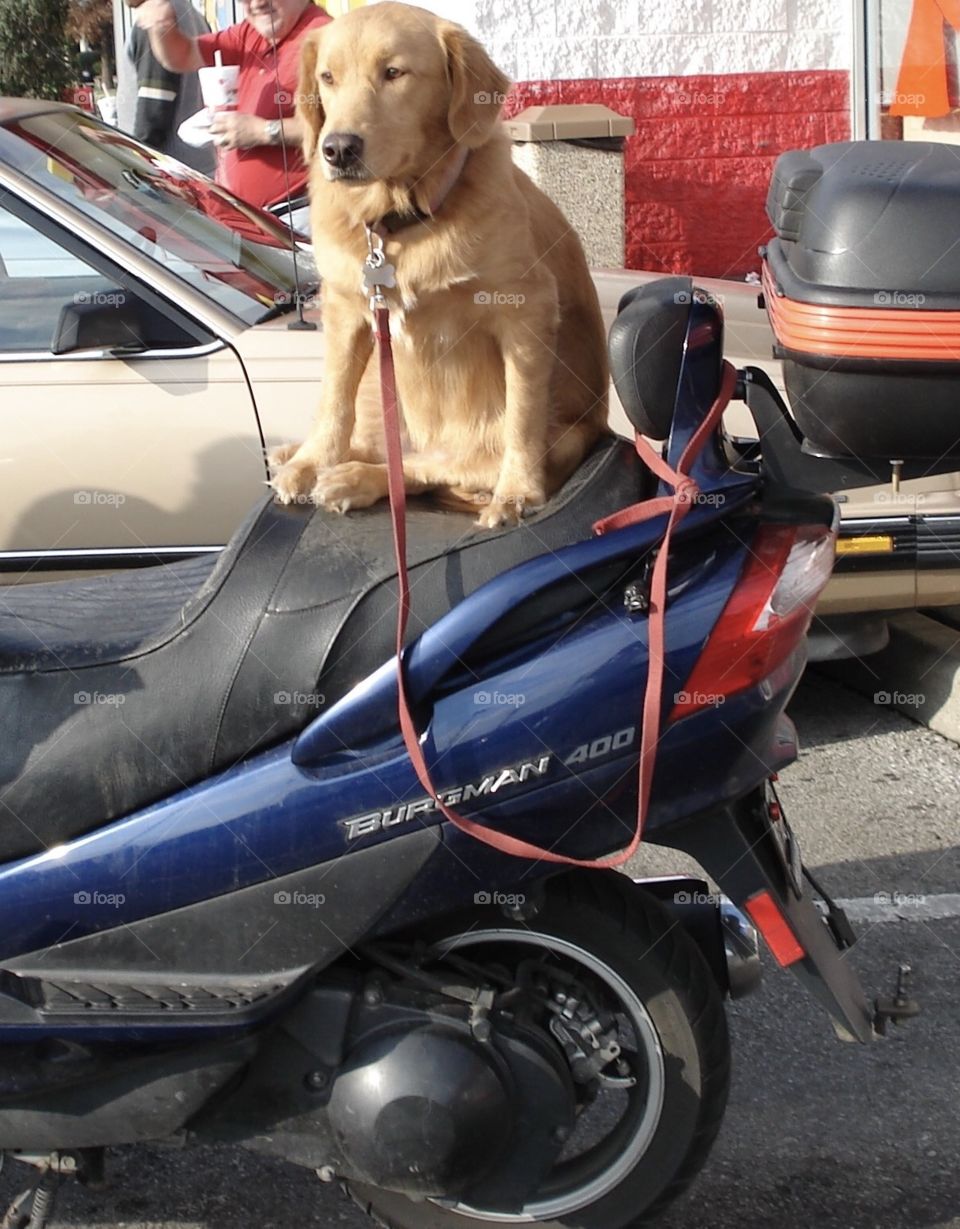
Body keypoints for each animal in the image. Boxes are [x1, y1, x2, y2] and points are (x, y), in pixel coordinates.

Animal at [269, 0, 607, 528]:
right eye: (327, 77)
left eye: (393, 73)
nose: (338, 148)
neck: (400, 221)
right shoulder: (347, 309)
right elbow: (333, 399)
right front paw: (310, 462)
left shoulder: (526, 309)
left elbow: (522, 416)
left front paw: (517, 491)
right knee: (390, 453)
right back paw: (309, 460)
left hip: (562, 437)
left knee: (432, 467)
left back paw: (352, 479)